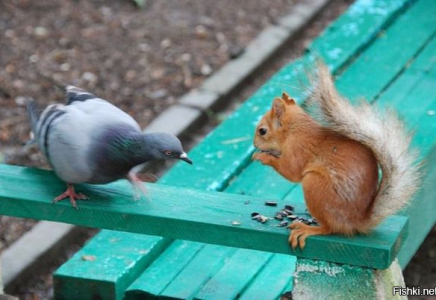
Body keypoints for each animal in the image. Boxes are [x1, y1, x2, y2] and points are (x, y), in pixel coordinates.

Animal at [254, 62, 420, 250]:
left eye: (262, 131)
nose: (254, 144)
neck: (294, 129)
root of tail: (356, 221)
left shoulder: (298, 148)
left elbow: (291, 171)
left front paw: (262, 157)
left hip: (314, 185)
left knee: (329, 228)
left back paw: (308, 228)